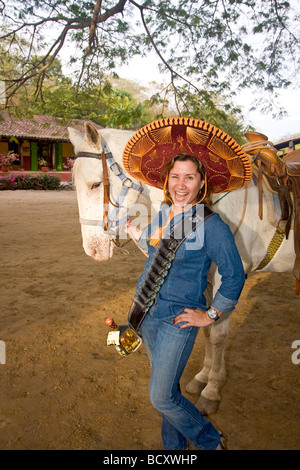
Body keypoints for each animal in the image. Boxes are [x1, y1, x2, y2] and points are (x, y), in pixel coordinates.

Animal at [68, 122, 296, 414]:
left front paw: (212, 391)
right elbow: (207, 329)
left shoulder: (227, 277)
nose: (92, 249)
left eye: (96, 184)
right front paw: (202, 378)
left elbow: (218, 335)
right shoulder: (206, 280)